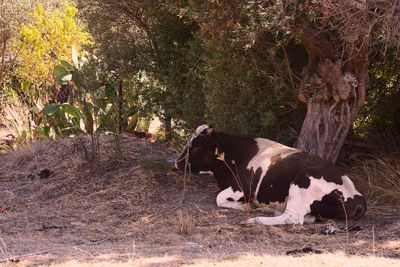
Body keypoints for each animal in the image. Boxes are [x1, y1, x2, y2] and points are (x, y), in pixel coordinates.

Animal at [177, 125, 368, 226]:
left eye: (197, 146)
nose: (177, 162)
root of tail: (357, 196)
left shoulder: (242, 188)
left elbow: (219, 198)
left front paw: (245, 207)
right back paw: (265, 209)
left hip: (303, 180)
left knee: (293, 218)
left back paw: (255, 219)